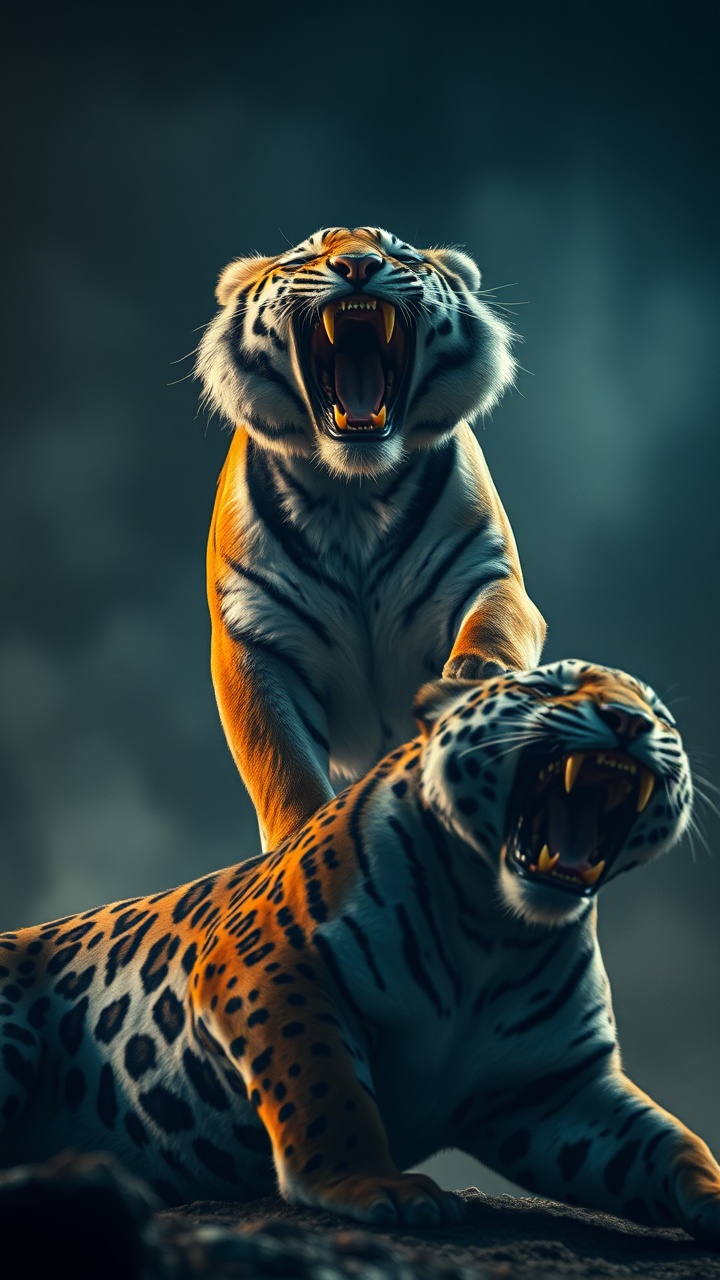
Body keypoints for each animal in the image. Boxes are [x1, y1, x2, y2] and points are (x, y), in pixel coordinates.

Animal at [2, 659, 719, 1245]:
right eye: (548, 689)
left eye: (660, 717)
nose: (629, 722)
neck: (497, 932)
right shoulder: (268, 967)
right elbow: (326, 1088)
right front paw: (374, 1186)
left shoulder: (551, 1094)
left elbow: (671, 1143)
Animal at [198, 224, 545, 850]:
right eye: (307, 256)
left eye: (397, 253)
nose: (358, 265)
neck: (352, 495)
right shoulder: (253, 636)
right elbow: (282, 764)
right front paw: (301, 837)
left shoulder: (484, 573)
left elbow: (495, 621)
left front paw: (477, 676)